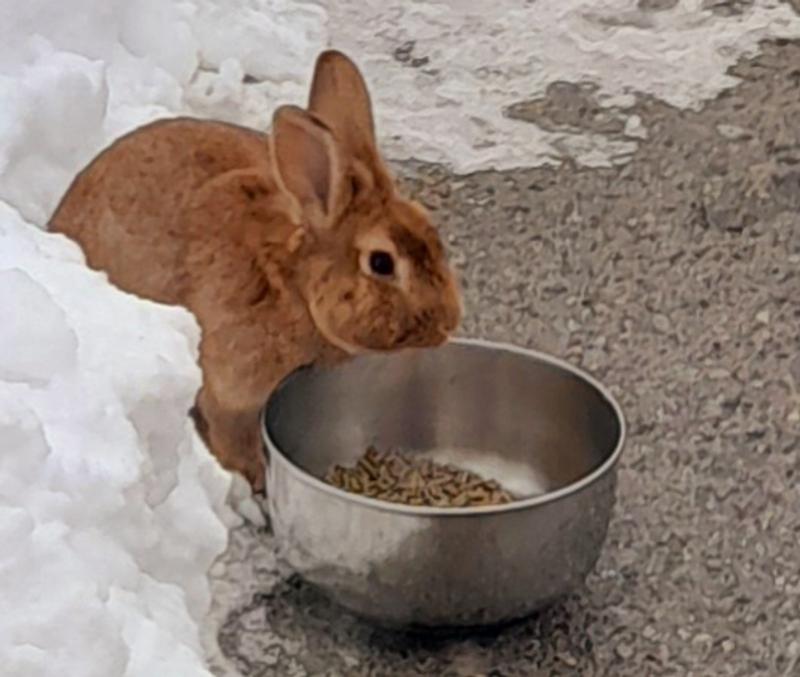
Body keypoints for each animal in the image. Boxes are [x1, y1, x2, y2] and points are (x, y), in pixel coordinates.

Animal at [49, 50, 462, 492]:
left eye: (433, 233)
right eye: (381, 263)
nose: (447, 324)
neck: (294, 286)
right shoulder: (232, 394)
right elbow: (232, 438)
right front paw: (255, 483)